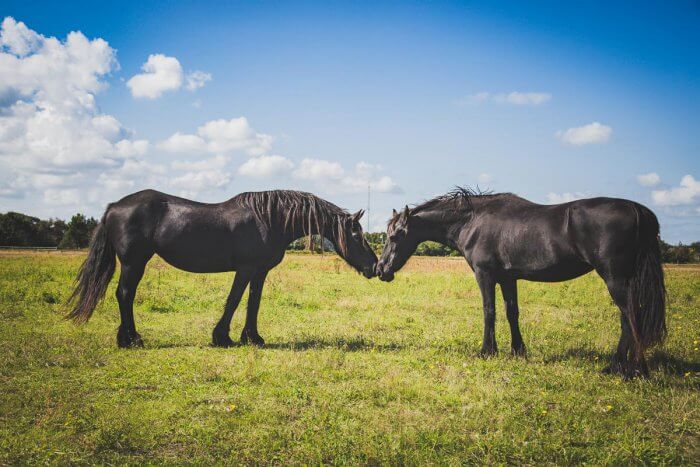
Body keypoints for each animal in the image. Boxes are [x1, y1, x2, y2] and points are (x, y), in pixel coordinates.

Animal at [68, 189, 378, 348]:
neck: (269, 219)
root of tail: (113, 206)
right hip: (134, 262)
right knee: (125, 295)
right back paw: (130, 339)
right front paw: (222, 337)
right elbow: (234, 300)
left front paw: (253, 337)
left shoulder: (260, 271)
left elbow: (254, 303)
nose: (374, 266)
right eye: (356, 235)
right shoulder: (245, 269)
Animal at [378, 188, 668, 378]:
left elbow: (489, 311)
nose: (381, 269)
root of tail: (636, 209)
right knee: (627, 318)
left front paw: (487, 351)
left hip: (615, 278)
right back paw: (615, 366)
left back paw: (634, 370)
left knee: (631, 315)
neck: (471, 221)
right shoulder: (508, 278)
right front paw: (518, 351)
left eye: (394, 236)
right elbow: (512, 312)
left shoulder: (485, 275)